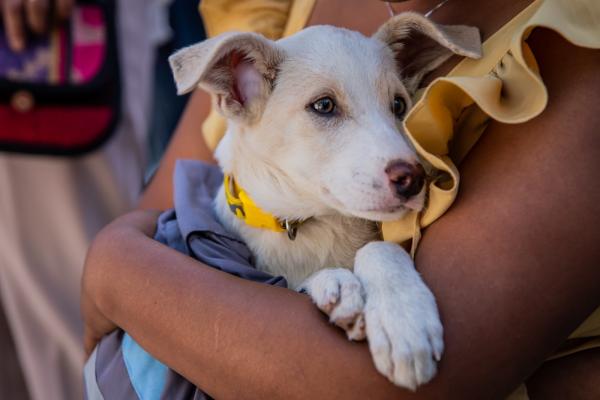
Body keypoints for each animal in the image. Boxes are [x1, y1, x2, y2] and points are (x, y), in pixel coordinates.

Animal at [170, 12, 482, 390]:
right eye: (324, 106)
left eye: (398, 105)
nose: (413, 179)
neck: (309, 223)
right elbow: (299, 281)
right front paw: (339, 285)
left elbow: (379, 247)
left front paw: (404, 321)